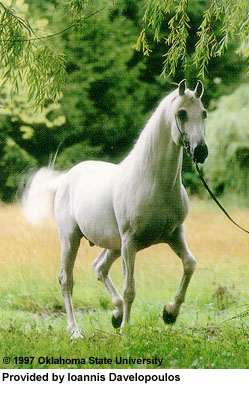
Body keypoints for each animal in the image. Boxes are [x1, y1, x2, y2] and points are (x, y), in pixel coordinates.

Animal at [21, 79, 208, 336]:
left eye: (204, 113)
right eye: (181, 113)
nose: (201, 151)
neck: (152, 181)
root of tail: (66, 178)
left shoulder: (174, 234)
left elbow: (190, 264)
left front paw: (170, 312)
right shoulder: (130, 242)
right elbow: (130, 288)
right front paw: (126, 330)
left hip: (114, 245)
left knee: (99, 267)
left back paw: (116, 313)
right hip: (71, 240)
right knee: (66, 280)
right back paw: (75, 331)